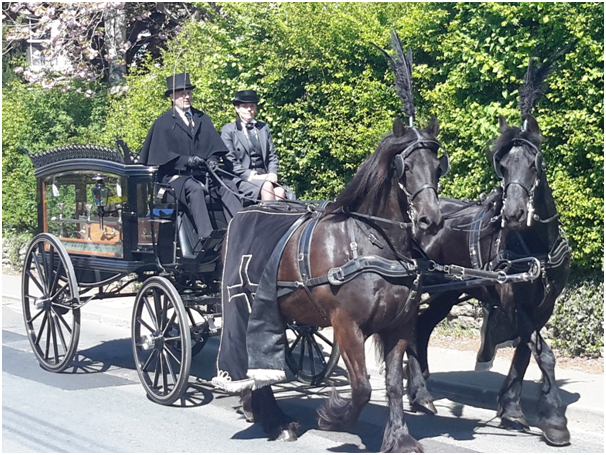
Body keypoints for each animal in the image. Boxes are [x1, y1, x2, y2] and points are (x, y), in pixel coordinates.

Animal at [406, 55, 572, 448]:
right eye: (503, 164)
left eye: (535, 163)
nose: (512, 212)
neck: (535, 246)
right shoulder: (516, 300)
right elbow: (544, 353)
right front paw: (555, 420)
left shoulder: (545, 303)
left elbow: (526, 353)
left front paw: (511, 409)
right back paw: (418, 391)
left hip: (448, 291)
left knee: (422, 326)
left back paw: (421, 391)